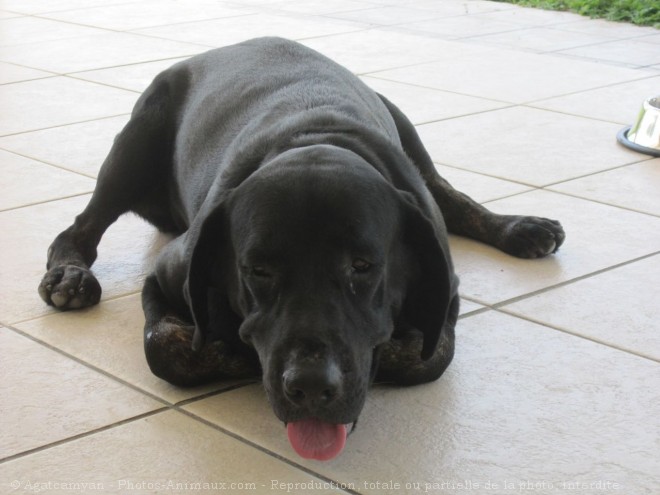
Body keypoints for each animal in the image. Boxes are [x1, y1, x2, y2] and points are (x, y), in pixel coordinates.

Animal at [37, 37, 564, 462]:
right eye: (257, 270)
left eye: (363, 266)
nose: (309, 385)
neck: (316, 141)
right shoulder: (167, 277)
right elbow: (167, 348)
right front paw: (231, 350)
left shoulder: (444, 297)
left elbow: (423, 355)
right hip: (137, 141)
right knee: (79, 229)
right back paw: (69, 276)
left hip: (406, 130)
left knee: (451, 196)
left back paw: (519, 228)